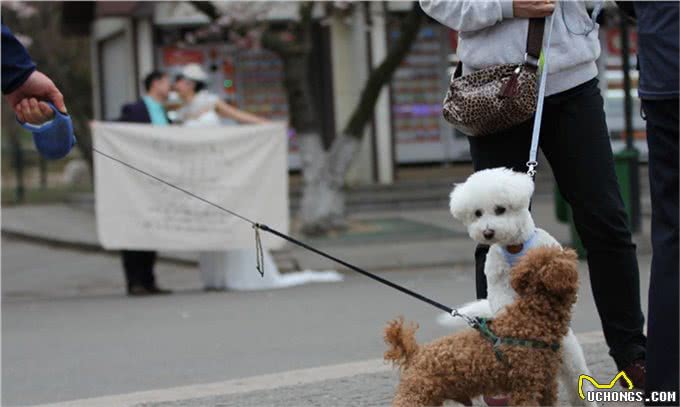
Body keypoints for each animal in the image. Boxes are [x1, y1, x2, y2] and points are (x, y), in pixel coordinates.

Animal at [440, 167, 596, 406]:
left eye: (500, 209)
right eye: (478, 213)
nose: (487, 232)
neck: (515, 247)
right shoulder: (497, 278)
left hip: (570, 358)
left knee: (577, 380)